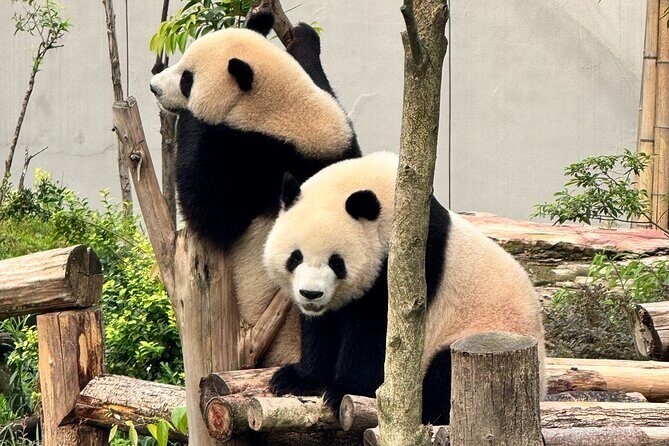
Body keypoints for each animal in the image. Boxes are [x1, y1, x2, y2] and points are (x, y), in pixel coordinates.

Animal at [150, 13, 360, 365]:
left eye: (187, 80)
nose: (154, 87)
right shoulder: (341, 143)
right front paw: (297, 36)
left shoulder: (253, 162)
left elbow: (211, 211)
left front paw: (193, 117)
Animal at [263, 151, 546, 424]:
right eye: (295, 257)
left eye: (336, 262)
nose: (311, 294)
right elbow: (322, 328)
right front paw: (296, 378)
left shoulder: (407, 264)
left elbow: (376, 332)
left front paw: (343, 390)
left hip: (483, 331)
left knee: (446, 372)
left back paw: (428, 408)